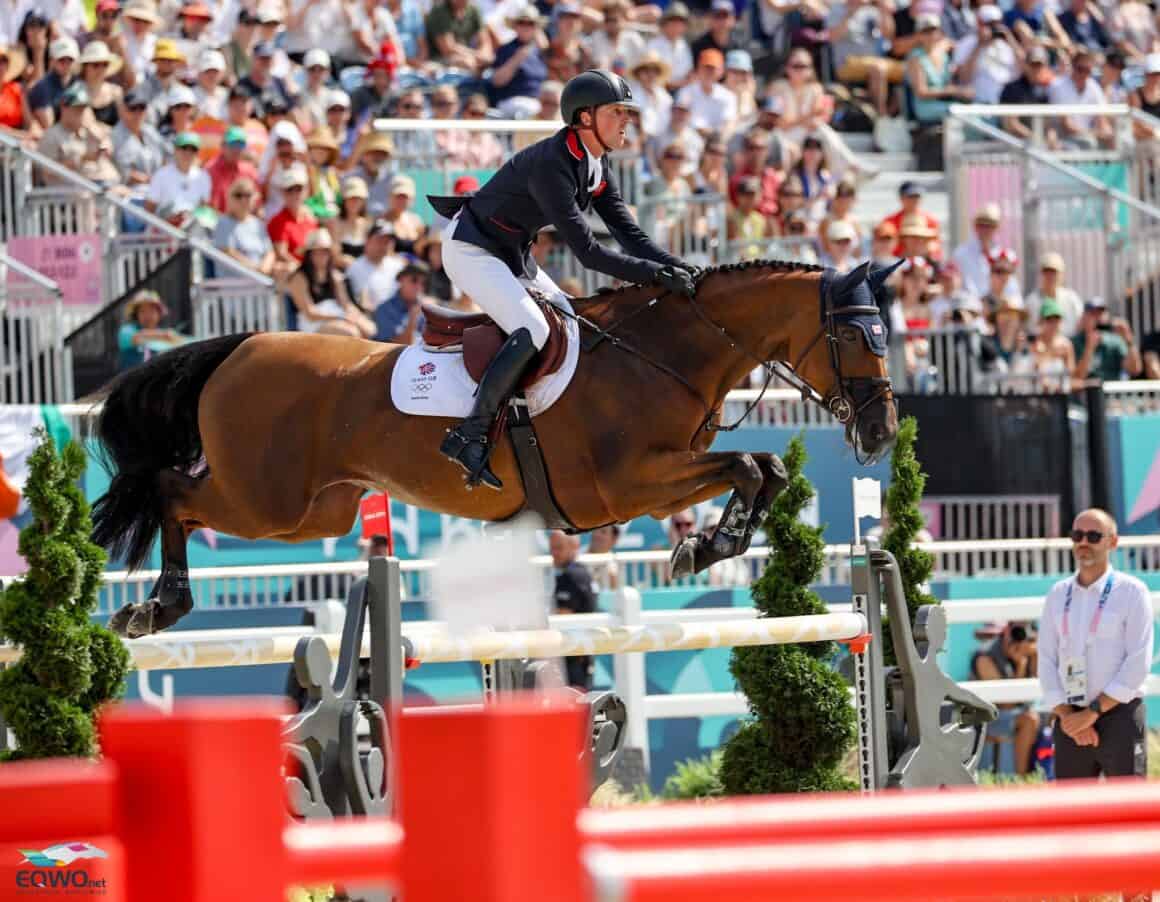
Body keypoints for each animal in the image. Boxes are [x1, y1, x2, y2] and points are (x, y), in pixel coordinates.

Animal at [95, 255, 900, 630]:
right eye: (859, 337)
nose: (882, 431)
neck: (661, 353)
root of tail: (240, 347)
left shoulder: (653, 480)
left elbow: (763, 467)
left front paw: (710, 544)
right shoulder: (625, 484)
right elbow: (747, 464)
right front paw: (702, 548)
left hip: (316, 510)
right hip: (266, 500)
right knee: (171, 491)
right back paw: (157, 607)